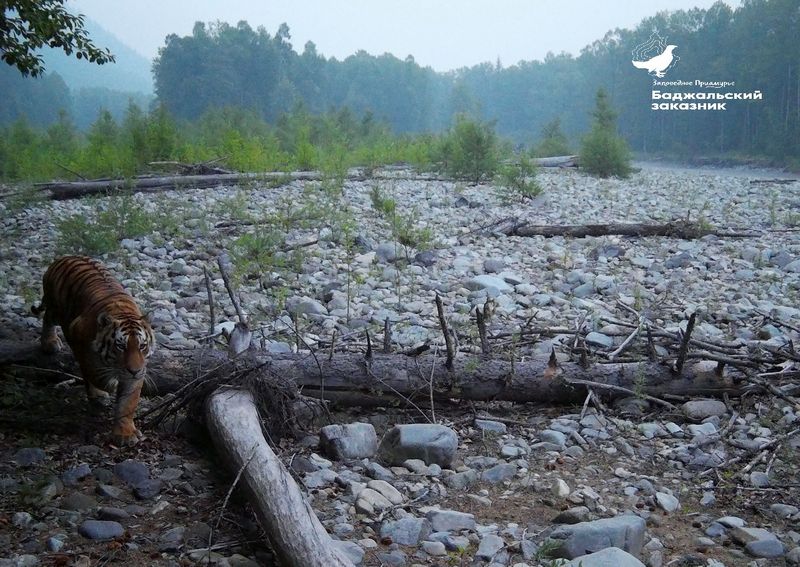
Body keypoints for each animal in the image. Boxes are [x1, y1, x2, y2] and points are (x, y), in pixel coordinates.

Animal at [32, 256, 155, 446]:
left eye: (142, 346)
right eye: (121, 346)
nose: (134, 371)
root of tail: (63, 257)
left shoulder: (139, 370)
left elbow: (128, 402)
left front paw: (125, 433)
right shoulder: (79, 339)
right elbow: (95, 374)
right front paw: (106, 388)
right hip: (56, 308)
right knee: (47, 317)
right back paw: (49, 342)